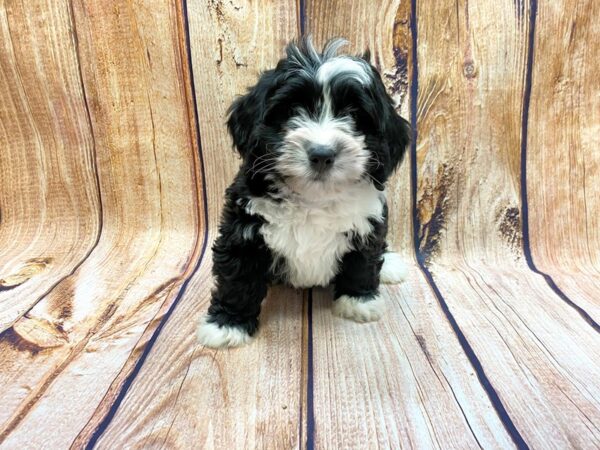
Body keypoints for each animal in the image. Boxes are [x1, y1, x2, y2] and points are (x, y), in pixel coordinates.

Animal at [196, 37, 408, 348]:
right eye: (292, 110)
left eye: (354, 115)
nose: (322, 154)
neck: (314, 198)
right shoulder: (243, 228)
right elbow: (238, 275)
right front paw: (227, 324)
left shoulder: (369, 222)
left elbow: (363, 261)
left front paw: (358, 301)